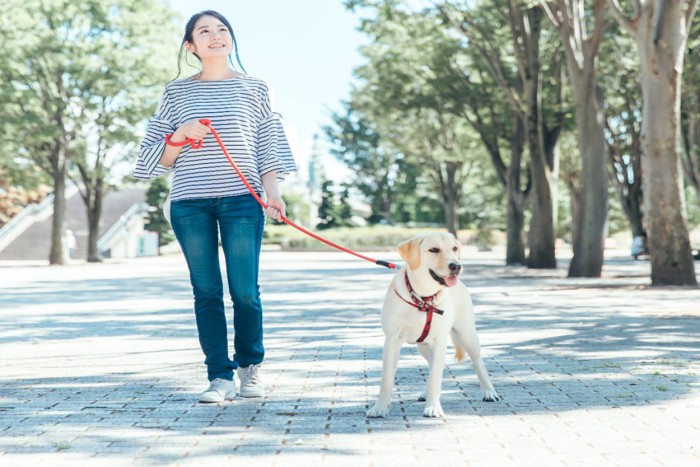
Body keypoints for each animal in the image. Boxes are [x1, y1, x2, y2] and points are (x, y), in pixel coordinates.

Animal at [366, 232, 498, 418]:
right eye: (434, 250)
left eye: (454, 248)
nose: (456, 266)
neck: (423, 298)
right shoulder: (392, 341)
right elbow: (386, 380)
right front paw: (380, 408)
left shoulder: (439, 341)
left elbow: (435, 377)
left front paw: (433, 408)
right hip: (424, 346)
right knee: (431, 365)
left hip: (466, 335)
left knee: (478, 362)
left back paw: (489, 392)